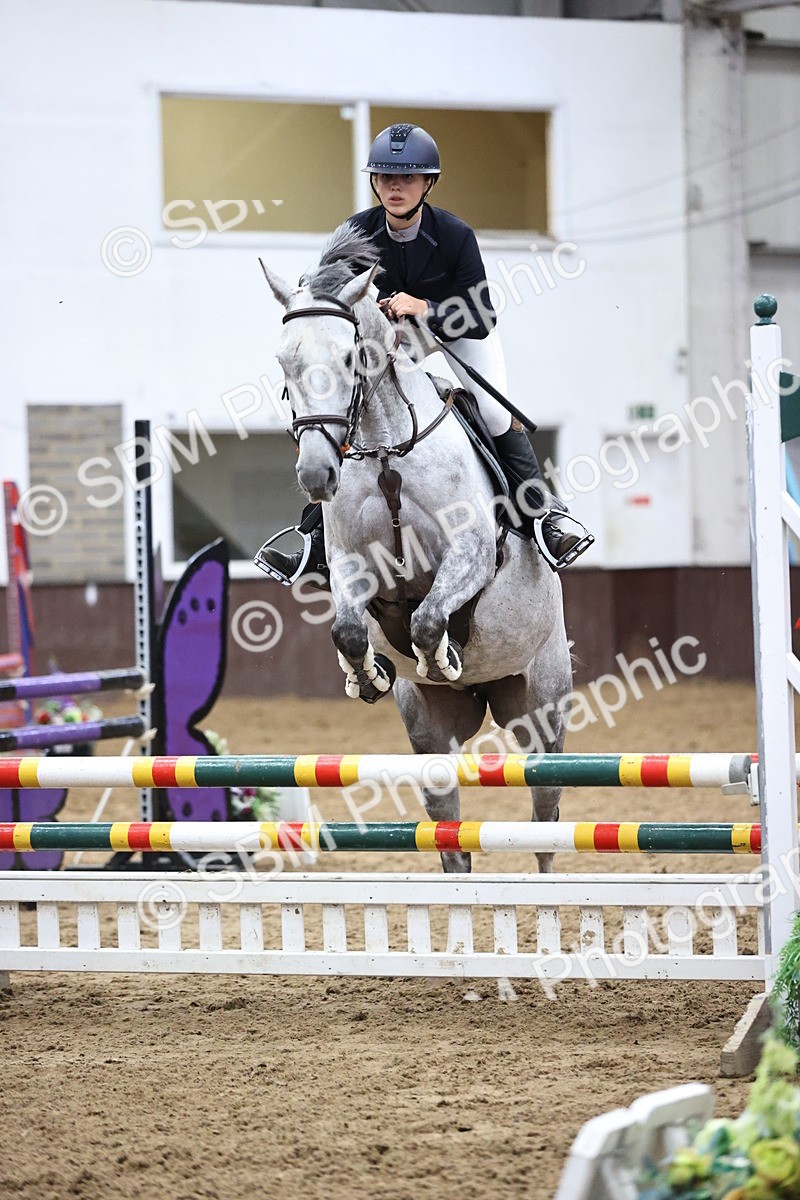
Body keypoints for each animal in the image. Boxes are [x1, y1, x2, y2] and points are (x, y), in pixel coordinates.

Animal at [260, 222, 572, 875]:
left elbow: (429, 618)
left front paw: (441, 656)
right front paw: (367, 676)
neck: (385, 449)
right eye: (284, 361)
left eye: (351, 357)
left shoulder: (471, 555)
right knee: (449, 825)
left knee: (545, 818)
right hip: (431, 726)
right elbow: (350, 630)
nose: (316, 475)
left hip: (541, 707)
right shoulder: (351, 567)